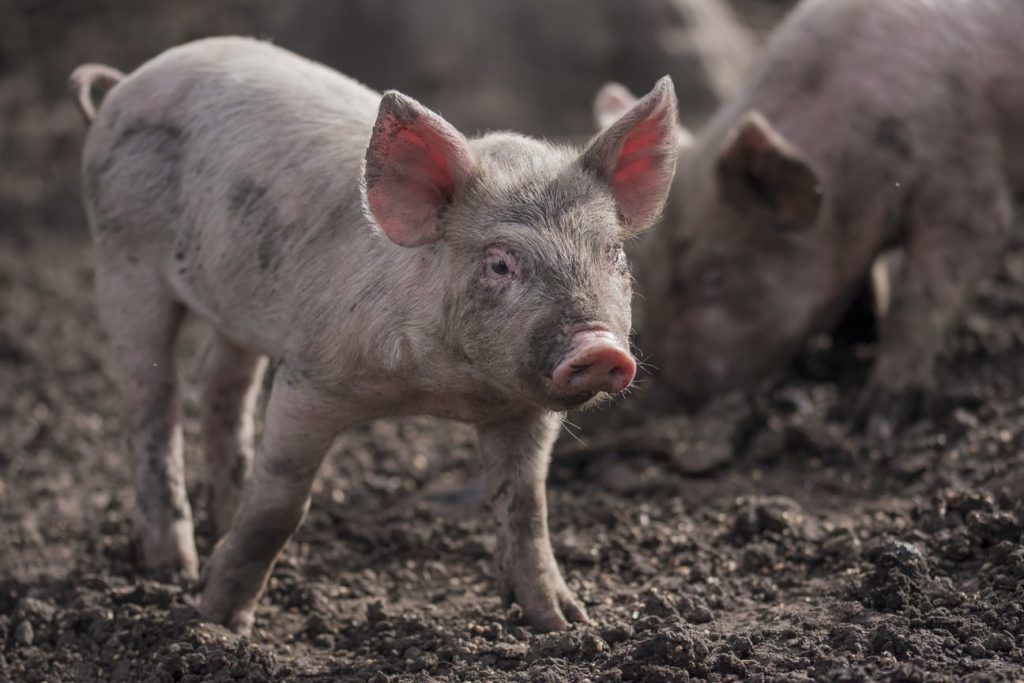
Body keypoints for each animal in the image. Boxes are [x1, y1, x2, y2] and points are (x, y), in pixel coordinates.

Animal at [70, 37, 679, 633]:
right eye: (500, 264)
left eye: (614, 254)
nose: (598, 347)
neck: (442, 390)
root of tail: (125, 83)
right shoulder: (310, 375)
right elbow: (280, 503)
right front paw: (218, 622)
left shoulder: (523, 410)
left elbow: (527, 507)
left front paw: (565, 624)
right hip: (122, 261)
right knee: (152, 401)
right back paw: (171, 567)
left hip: (233, 300)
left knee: (222, 386)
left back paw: (217, 524)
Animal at [594, 0, 1024, 433]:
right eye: (650, 269)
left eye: (715, 278)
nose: (666, 392)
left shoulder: (964, 184)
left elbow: (922, 296)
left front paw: (873, 419)